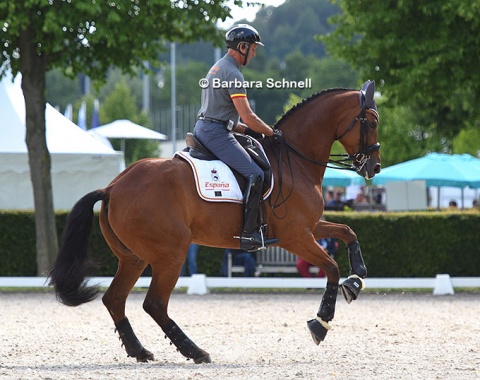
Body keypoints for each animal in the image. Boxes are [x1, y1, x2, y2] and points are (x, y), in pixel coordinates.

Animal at [47, 80, 378, 366]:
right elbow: (331, 267)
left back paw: (139, 350)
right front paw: (321, 322)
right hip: (171, 253)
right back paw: (195, 351)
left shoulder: (309, 226)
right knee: (154, 303)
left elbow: (348, 232)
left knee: (115, 299)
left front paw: (357, 278)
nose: (374, 167)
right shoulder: (295, 236)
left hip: (134, 257)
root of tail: (113, 186)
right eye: (372, 122)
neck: (295, 159)